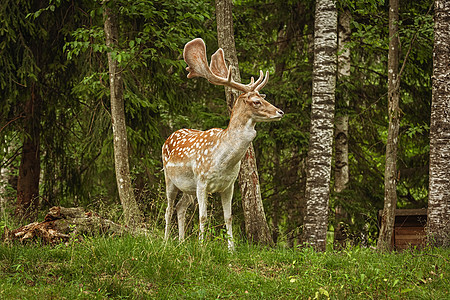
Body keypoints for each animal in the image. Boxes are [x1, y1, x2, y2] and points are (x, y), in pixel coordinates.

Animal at [162, 37, 284, 250]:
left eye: (263, 98)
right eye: (256, 102)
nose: (280, 112)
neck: (223, 160)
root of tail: (169, 137)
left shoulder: (229, 185)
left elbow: (228, 217)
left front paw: (232, 250)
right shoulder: (202, 181)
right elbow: (203, 217)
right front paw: (202, 247)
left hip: (188, 188)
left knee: (180, 207)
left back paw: (182, 242)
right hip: (170, 179)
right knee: (168, 208)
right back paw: (166, 242)